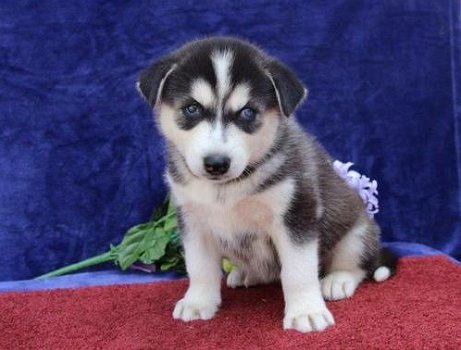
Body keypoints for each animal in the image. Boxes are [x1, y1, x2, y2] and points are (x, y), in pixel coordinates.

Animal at [136, 37, 396, 332]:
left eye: (248, 112)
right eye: (192, 108)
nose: (216, 163)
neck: (227, 189)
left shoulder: (295, 214)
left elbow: (298, 270)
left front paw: (306, 312)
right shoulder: (193, 219)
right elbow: (200, 267)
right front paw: (198, 302)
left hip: (357, 232)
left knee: (356, 263)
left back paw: (337, 280)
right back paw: (245, 274)